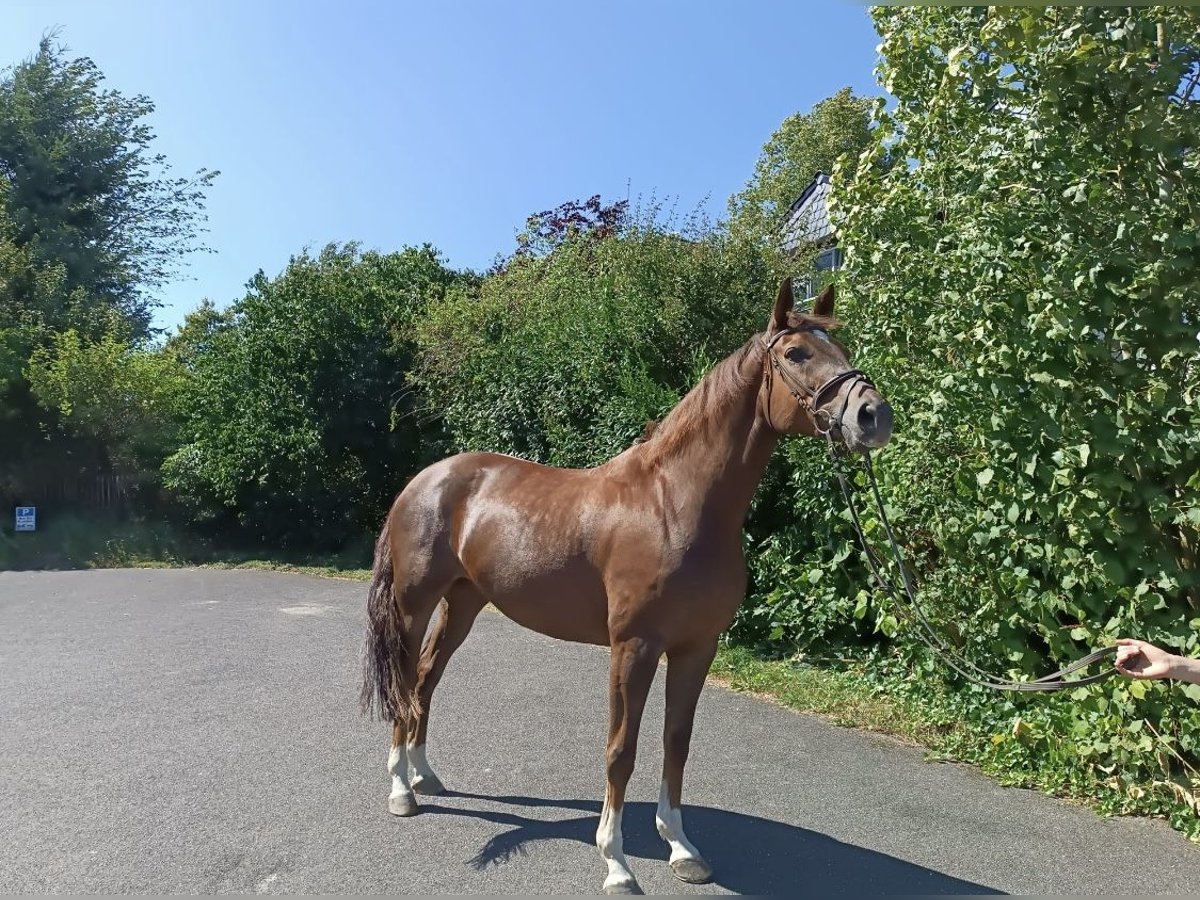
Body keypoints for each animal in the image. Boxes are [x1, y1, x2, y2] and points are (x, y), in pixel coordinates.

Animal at [355, 280, 892, 897]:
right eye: (797, 354)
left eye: (842, 347)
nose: (874, 415)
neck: (676, 504)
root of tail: (421, 481)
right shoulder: (633, 647)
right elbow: (621, 749)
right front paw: (615, 862)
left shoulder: (696, 648)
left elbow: (676, 742)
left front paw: (681, 848)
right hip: (415, 604)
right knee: (404, 680)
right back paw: (401, 790)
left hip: (464, 602)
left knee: (426, 679)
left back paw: (424, 775)